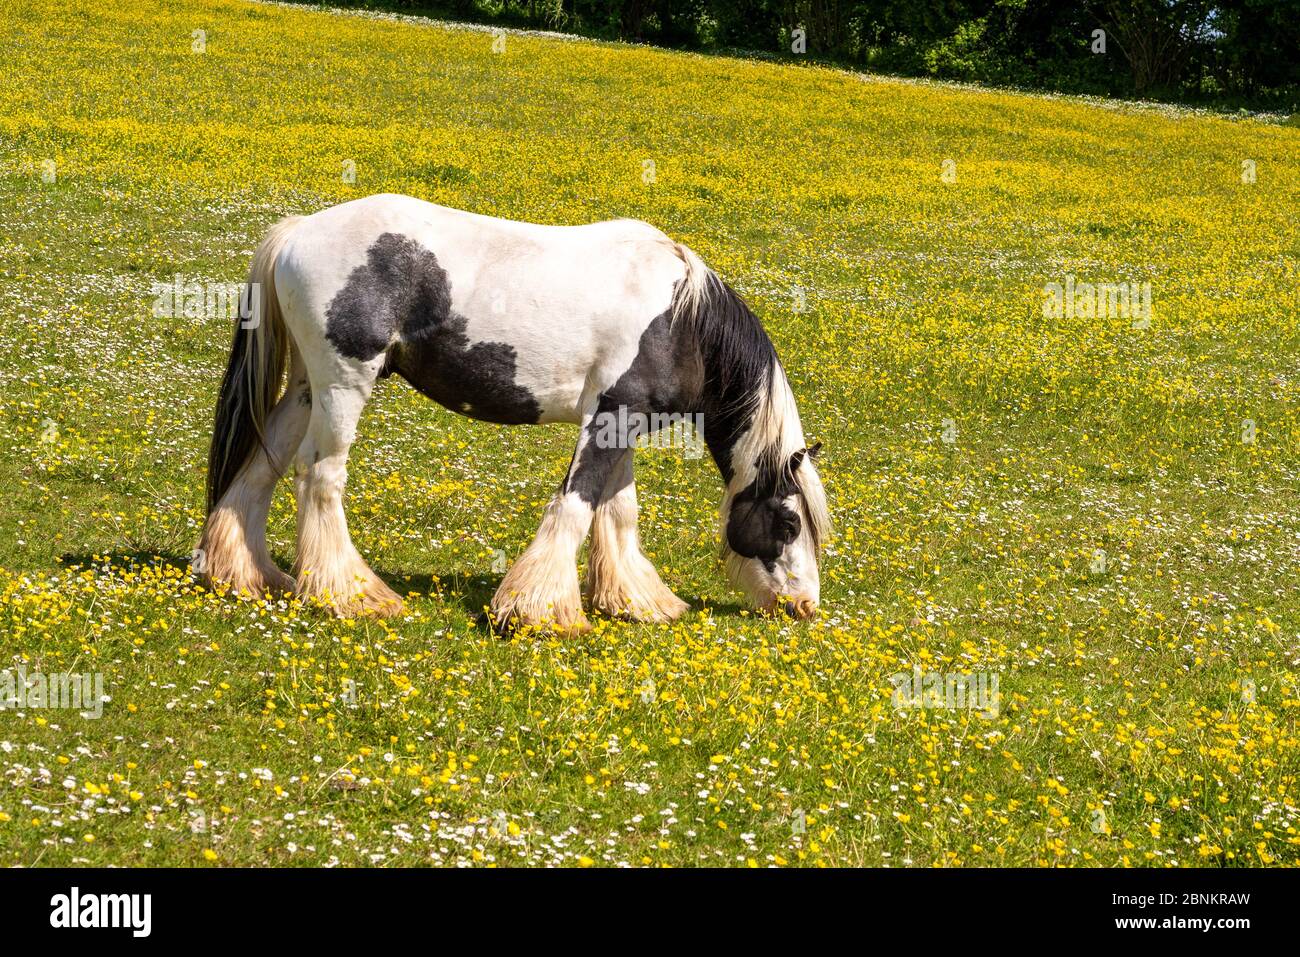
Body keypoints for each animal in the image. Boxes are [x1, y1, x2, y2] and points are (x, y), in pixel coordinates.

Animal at [197, 193, 829, 631]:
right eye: (790, 524)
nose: (804, 606)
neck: (680, 318)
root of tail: (298, 232)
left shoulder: (624, 421)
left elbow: (617, 511)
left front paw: (638, 602)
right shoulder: (612, 416)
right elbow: (575, 505)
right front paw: (539, 611)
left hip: (307, 387)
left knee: (261, 466)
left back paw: (243, 575)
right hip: (343, 385)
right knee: (319, 475)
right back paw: (350, 595)